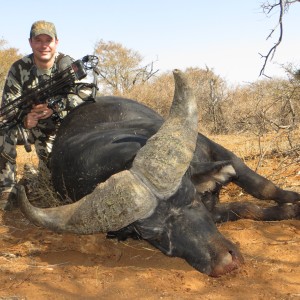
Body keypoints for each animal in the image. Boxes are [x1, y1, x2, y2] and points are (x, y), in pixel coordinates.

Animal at [17, 70, 298, 276]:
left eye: (191, 200)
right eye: (154, 234)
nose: (225, 263)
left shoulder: (219, 151)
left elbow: (263, 187)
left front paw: (293, 201)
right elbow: (244, 208)